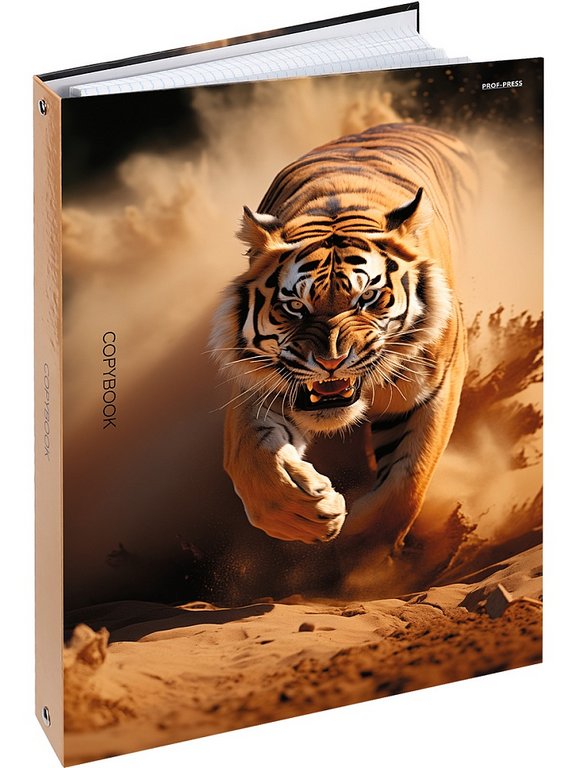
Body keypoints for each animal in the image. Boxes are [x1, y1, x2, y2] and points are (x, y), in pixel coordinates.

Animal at [211, 123, 476, 554]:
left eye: (367, 298)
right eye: (295, 306)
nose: (331, 362)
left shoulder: (438, 385)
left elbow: (407, 482)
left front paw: (360, 553)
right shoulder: (259, 383)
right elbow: (252, 459)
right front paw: (307, 514)